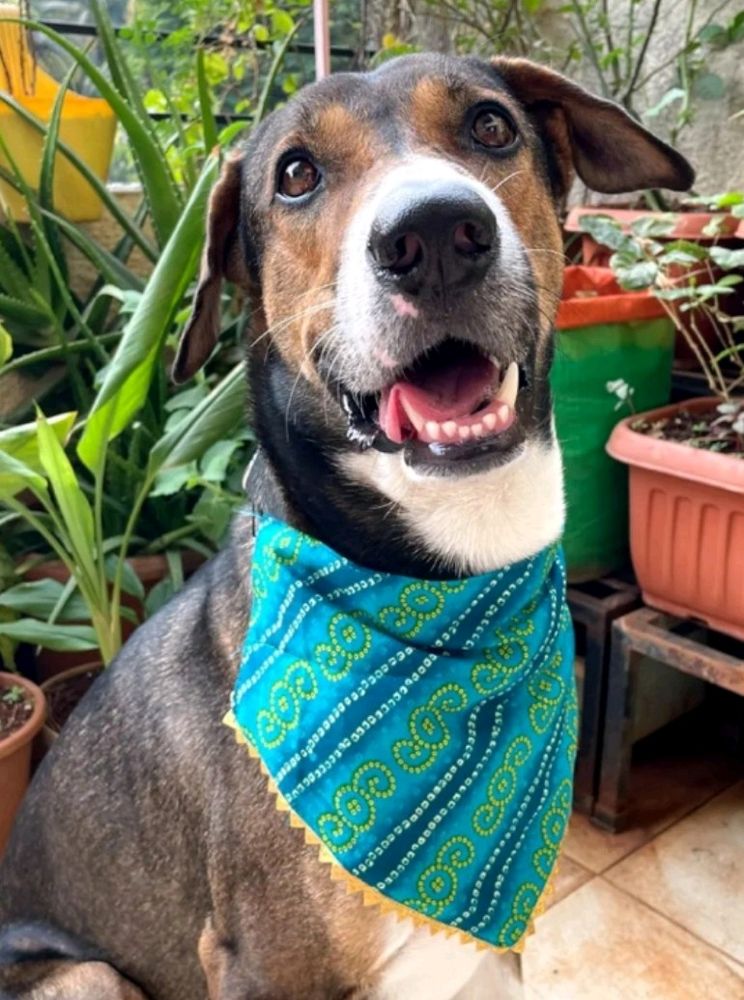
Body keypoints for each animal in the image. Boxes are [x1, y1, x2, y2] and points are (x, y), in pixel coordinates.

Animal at [0, 54, 692, 1000]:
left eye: (491, 126)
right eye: (296, 175)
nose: (433, 233)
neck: (444, 579)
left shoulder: (492, 962)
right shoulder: (262, 966)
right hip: (90, 975)